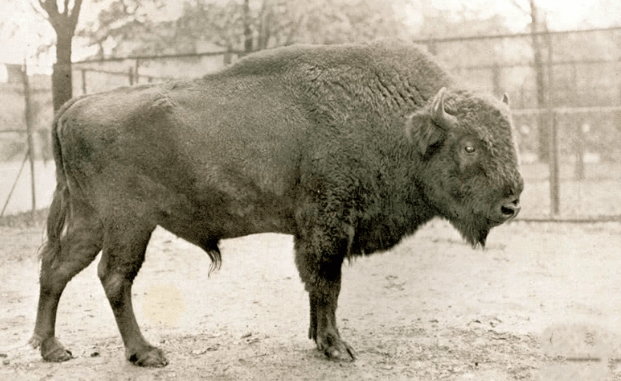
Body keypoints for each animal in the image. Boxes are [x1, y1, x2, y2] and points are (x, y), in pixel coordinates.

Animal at [30, 38, 524, 366]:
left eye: (508, 136)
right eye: (469, 146)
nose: (512, 204)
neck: (401, 123)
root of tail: (72, 107)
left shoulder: (312, 233)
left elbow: (316, 287)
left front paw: (317, 339)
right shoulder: (327, 227)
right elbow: (327, 284)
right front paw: (337, 348)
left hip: (93, 221)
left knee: (57, 269)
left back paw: (51, 348)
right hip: (129, 223)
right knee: (114, 277)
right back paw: (147, 353)